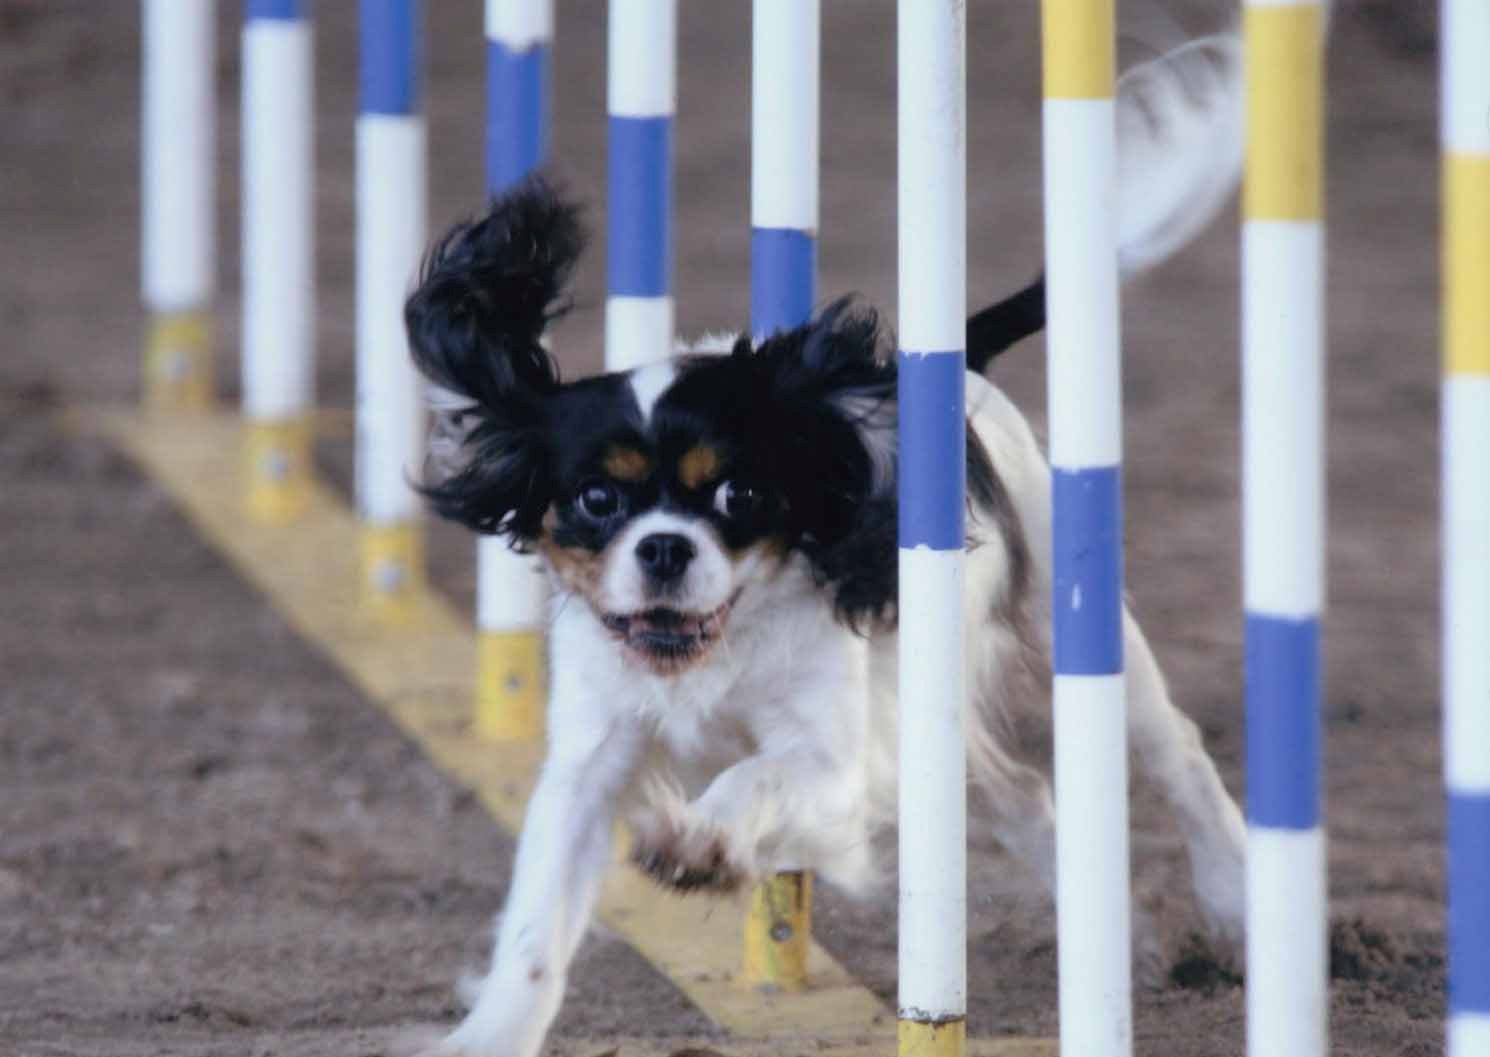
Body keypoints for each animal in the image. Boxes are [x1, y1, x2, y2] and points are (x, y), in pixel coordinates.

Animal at [405, 28, 1245, 1055]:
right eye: (596, 498)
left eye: (740, 493)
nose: (663, 548)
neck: (711, 650)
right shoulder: (588, 765)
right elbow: (535, 926)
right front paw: (490, 1033)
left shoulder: (837, 763)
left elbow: (752, 777)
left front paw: (700, 842)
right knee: (1023, 794)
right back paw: (1117, 941)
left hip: (1071, 631)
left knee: (1178, 753)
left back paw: (1234, 900)